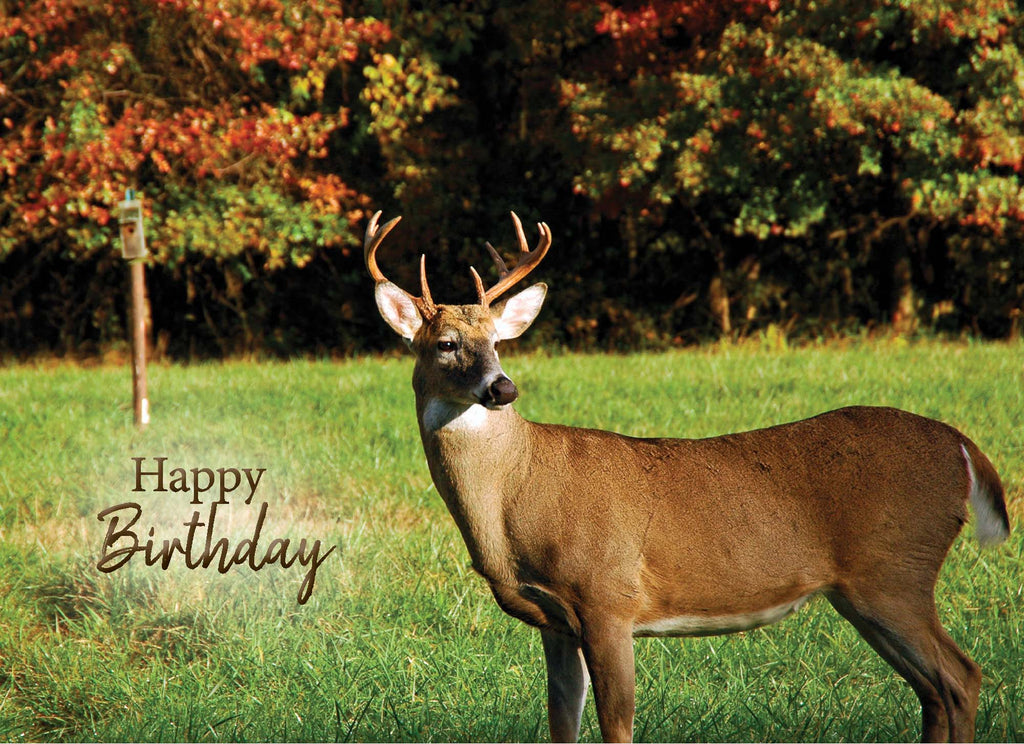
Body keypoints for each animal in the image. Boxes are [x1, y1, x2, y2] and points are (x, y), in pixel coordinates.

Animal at [363, 210, 1011, 743]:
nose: (503, 388)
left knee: (961, 678)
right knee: (934, 692)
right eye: (447, 344)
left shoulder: (608, 595)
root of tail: (963, 447)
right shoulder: (556, 621)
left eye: (498, 341)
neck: (514, 497)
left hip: (895, 569)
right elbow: (561, 723)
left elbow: (617, 724)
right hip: (866, 589)